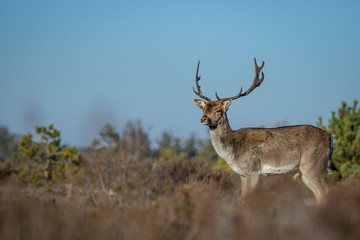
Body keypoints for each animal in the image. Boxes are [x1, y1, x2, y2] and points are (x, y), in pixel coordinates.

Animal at [193, 58, 334, 204]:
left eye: (218, 110)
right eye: (203, 109)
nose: (203, 118)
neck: (231, 151)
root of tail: (330, 137)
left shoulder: (252, 170)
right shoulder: (242, 174)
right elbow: (242, 197)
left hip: (311, 164)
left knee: (324, 191)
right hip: (307, 170)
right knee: (320, 193)